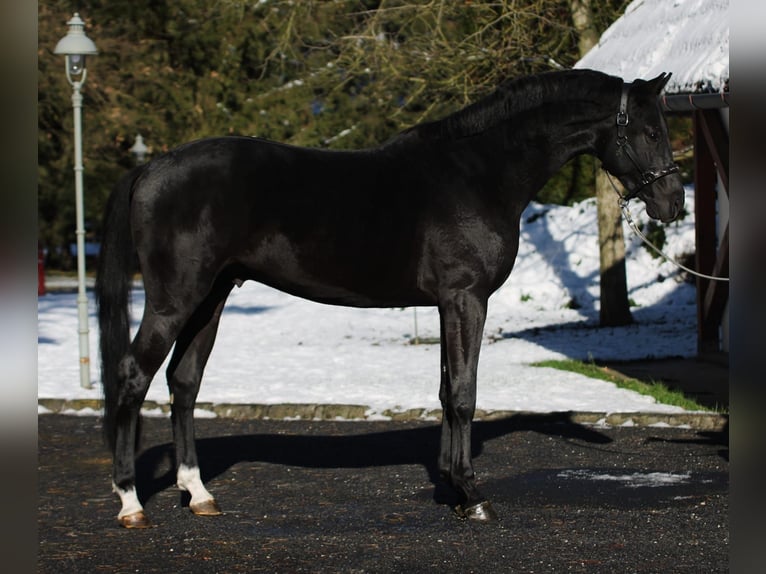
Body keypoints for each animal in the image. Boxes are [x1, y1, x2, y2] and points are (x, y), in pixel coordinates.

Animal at [94, 70, 684, 528]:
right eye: (650, 130)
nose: (673, 202)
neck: (480, 172)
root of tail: (152, 167)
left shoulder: (448, 303)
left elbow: (447, 392)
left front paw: (453, 489)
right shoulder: (467, 299)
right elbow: (464, 394)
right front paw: (474, 496)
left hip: (210, 299)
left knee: (183, 383)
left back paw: (198, 494)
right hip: (174, 301)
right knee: (132, 377)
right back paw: (130, 503)